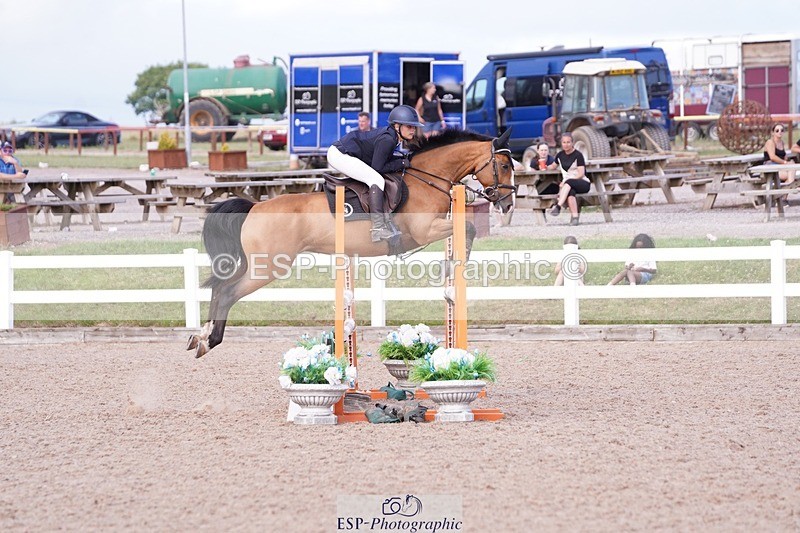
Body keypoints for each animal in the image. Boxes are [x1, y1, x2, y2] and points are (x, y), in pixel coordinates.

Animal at [188, 128, 516, 357]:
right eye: (504, 165)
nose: (508, 203)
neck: (426, 179)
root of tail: (254, 207)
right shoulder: (424, 231)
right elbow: (469, 227)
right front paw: (452, 265)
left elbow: (466, 229)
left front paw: (451, 266)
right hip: (267, 267)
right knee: (228, 292)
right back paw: (210, 340)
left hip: (257, 264)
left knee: (219, 287)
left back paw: (200, 336)